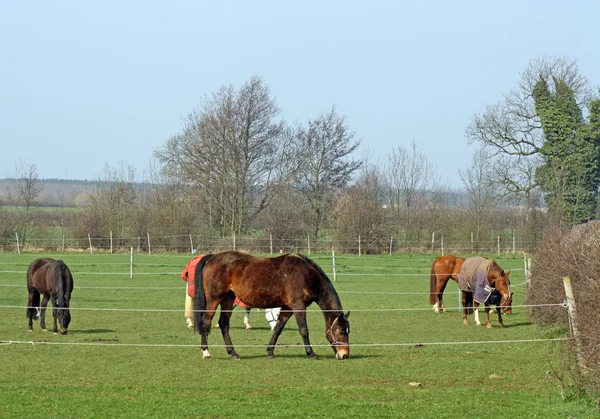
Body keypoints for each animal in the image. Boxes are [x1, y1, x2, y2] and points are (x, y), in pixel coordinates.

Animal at [192, 251, 352, 362]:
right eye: (341, 331)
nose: (344, 355)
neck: (305, 274)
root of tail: (211, 258)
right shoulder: (298, 306)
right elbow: (304, 330)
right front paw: (311, 354)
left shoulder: (287, 308)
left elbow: (277, 329)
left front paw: (270, 352)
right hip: (214, 300)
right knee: (206, 322)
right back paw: (206, 352)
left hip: (228, 299)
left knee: (224, 324)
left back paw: (233, 353)